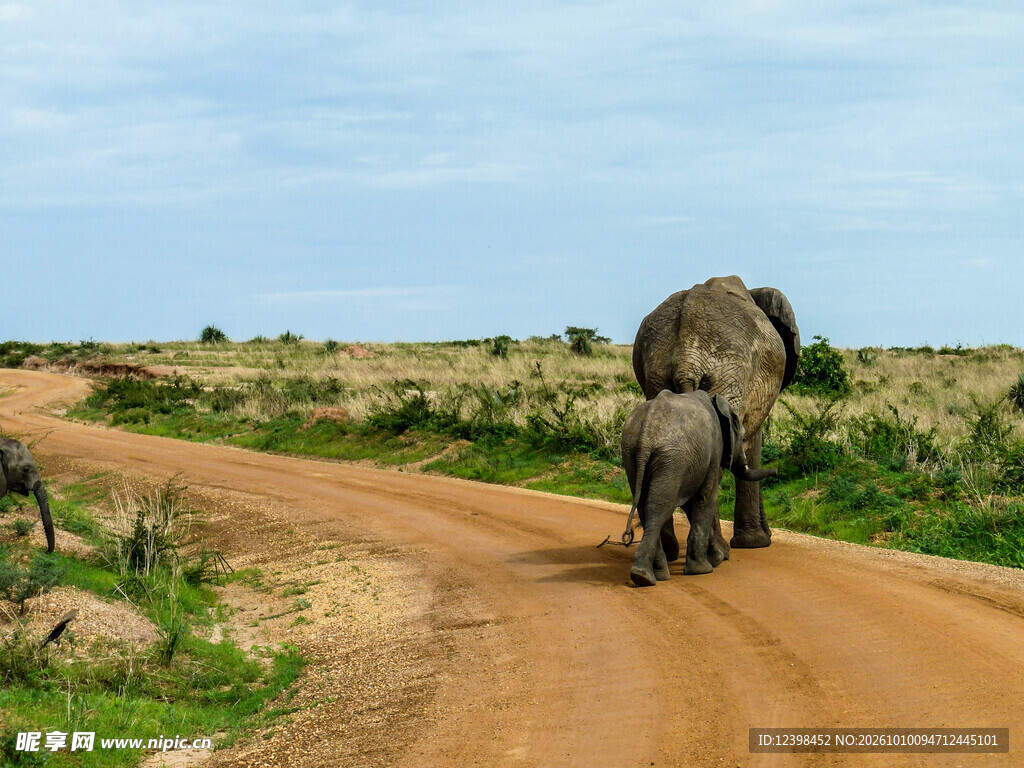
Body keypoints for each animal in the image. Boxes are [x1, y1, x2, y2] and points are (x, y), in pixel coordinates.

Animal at [621, 390, 777, 586]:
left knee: (644, 507)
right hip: (672, 458)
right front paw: (704, 569)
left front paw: (716, 559)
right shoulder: (714, 450)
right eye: (741, 438)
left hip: (632, 455)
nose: (776, 472)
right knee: (659, 508)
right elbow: (705, 498)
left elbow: (690, 505)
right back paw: (646, 576)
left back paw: (649, 576)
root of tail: (646, 435)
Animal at [632, 275, 799, 552]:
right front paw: (755, 543)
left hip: (661, 375)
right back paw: (717, 551)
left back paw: (672, 548)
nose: (770, 534)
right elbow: (751, 446)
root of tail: (686, 360)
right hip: (729, 372)